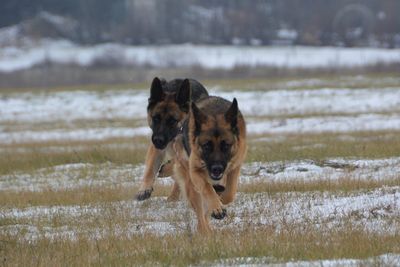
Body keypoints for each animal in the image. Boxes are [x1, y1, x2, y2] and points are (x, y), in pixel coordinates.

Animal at [174, 97, 247, 234]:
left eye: (226, 146)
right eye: (207, 146)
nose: (216, 169)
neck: (215, 114)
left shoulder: (235, 167)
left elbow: (230, 193)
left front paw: (221, 199)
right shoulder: (195, 171)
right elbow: (207, 189)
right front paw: (217, 208)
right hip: (191, 184)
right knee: (200, 214)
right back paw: (205, 232)